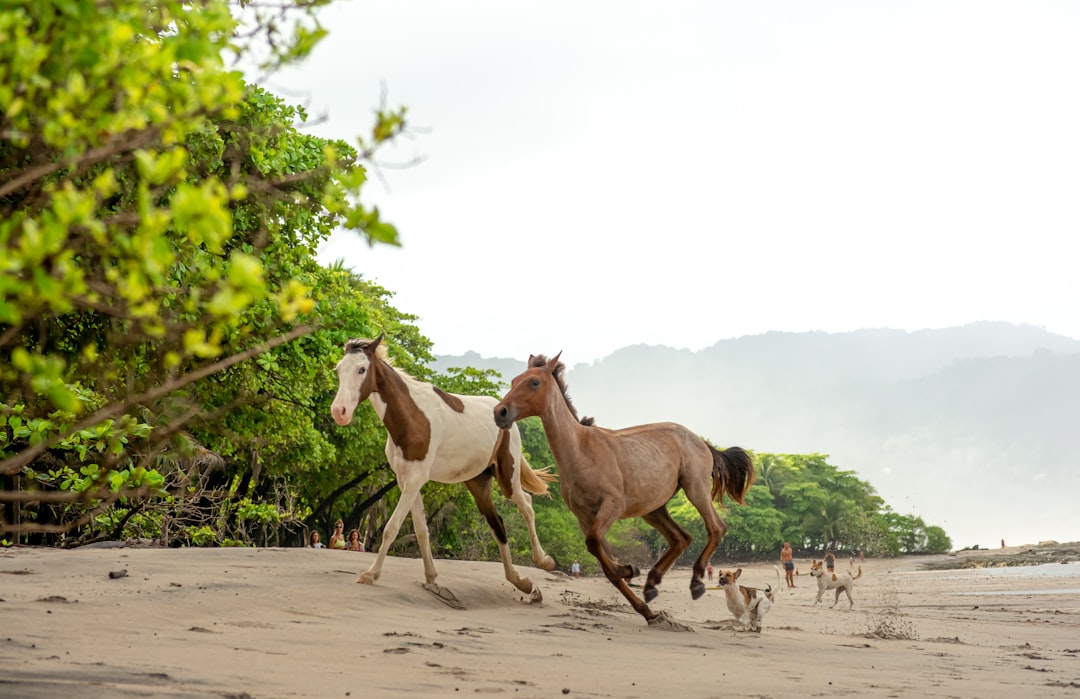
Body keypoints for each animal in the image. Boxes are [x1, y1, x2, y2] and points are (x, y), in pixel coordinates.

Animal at [328, 337, 552, 605]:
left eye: (362, 369)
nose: (339, 412)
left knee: (526, 504)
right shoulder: (405, 480)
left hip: (508, 476)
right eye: (338, 369)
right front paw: (431, 577)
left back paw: (544, 562)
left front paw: (370, 574)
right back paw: (523, 583)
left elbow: (392, 527)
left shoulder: (415, 479)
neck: (412, 417)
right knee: (497, 524)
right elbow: (421, 530)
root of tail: (504, 413)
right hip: (477, 482)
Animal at [494, 352, 756, 626]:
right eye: (514, 380)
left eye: (534, 382)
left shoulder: (612, 505)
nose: (500, 412)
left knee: (716, 527)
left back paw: (695, 584)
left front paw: (631, 571)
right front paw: (644, 603)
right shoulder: (584, 517)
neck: (581, 451)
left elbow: (598, 548)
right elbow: (603, 560)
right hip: (653, 508)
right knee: (681, 538)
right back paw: (651, 584)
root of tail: (702, 442)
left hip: (695, 489)